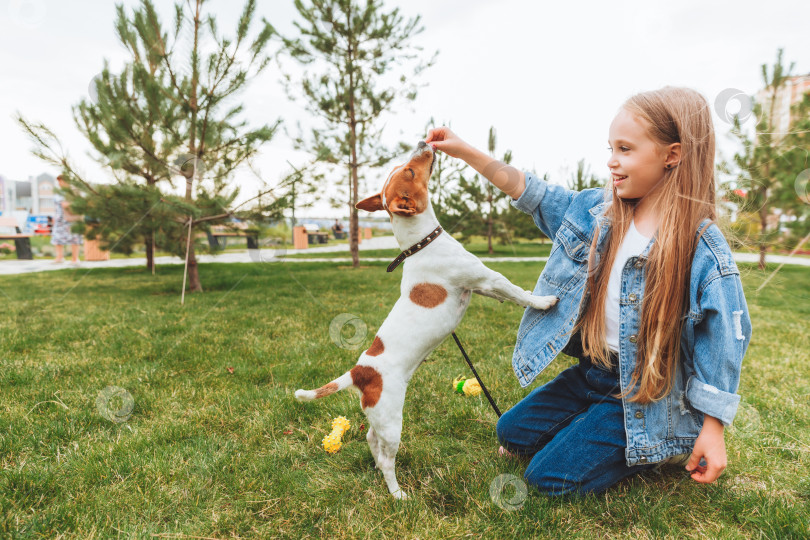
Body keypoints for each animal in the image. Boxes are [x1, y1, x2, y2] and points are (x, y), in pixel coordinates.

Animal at [294, 140, 560, 498]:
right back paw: (397, 494)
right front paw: (543, 302)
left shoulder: (482, 288)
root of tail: (360, 371)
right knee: (386, 458)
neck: (421, 244)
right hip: (392, 420)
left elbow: (510, 296)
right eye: (409, 171)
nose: (424, 142)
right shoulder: (487, 279)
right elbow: (517, 292)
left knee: (371, 441)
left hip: (380, 418)